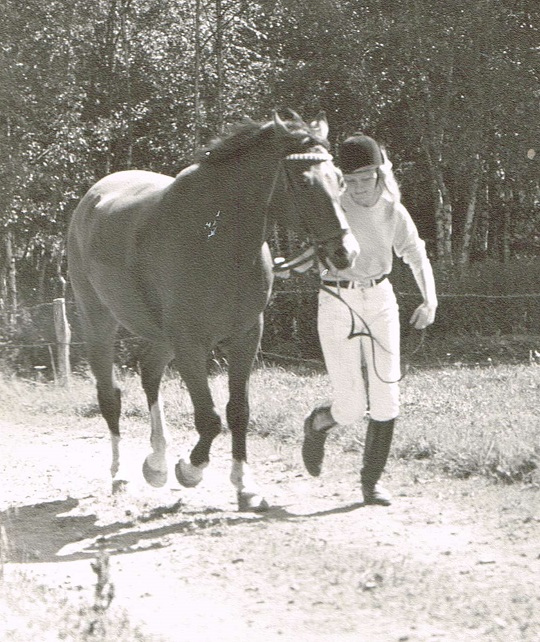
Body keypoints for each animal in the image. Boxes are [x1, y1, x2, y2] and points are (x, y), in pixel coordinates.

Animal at [66, 111, 358, 510]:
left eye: (339, 179)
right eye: (302, 181)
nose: (346, 252)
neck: (217, 239)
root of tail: (90, 200)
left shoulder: (246, 336)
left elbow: (238, 411)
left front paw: (245, 485)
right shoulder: (190, 343)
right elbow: (209, 419)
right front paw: (190, 470)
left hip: (162, 335)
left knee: (149, 374)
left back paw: (156, 464)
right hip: (99, 321)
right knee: (110, 395)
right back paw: (121, 473)